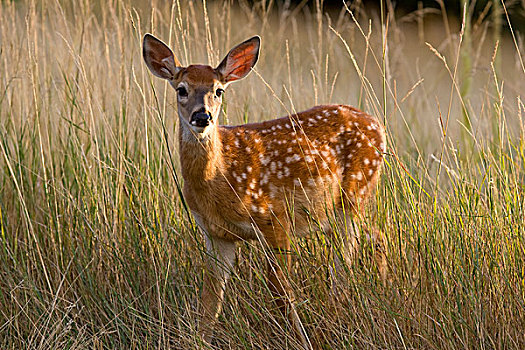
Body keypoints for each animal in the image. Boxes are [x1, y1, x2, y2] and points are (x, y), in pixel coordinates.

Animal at [142, 34, 384, 348]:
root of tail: (378, 125)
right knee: (377, 236)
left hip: (354, 194)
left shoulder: (275, 219)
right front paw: (200, 340)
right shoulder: (216, 235)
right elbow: (210, 301)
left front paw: (301, 340)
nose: (202, 116)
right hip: (337, 210)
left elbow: (281, 292)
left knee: (343, 268)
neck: (222, 178)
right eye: (182, 89)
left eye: (219, 90)